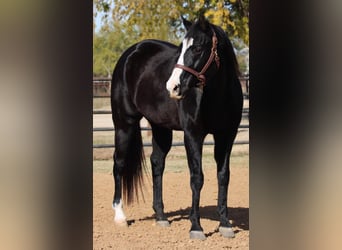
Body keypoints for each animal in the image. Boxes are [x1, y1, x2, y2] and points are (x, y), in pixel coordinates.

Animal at [110, 15, 243, 240]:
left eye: (197, 48)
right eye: (181, 48)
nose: (172, 87)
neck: (217, 96)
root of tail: (131, 53)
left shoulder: (227, 136)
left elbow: (223, 176)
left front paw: (225, 224)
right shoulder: (193, 135)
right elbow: (197, 178)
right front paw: (196, 227)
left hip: (160, 128)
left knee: (157, 163)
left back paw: (161, 216)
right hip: (123, 124)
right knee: (118, 163)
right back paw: (120, 217)